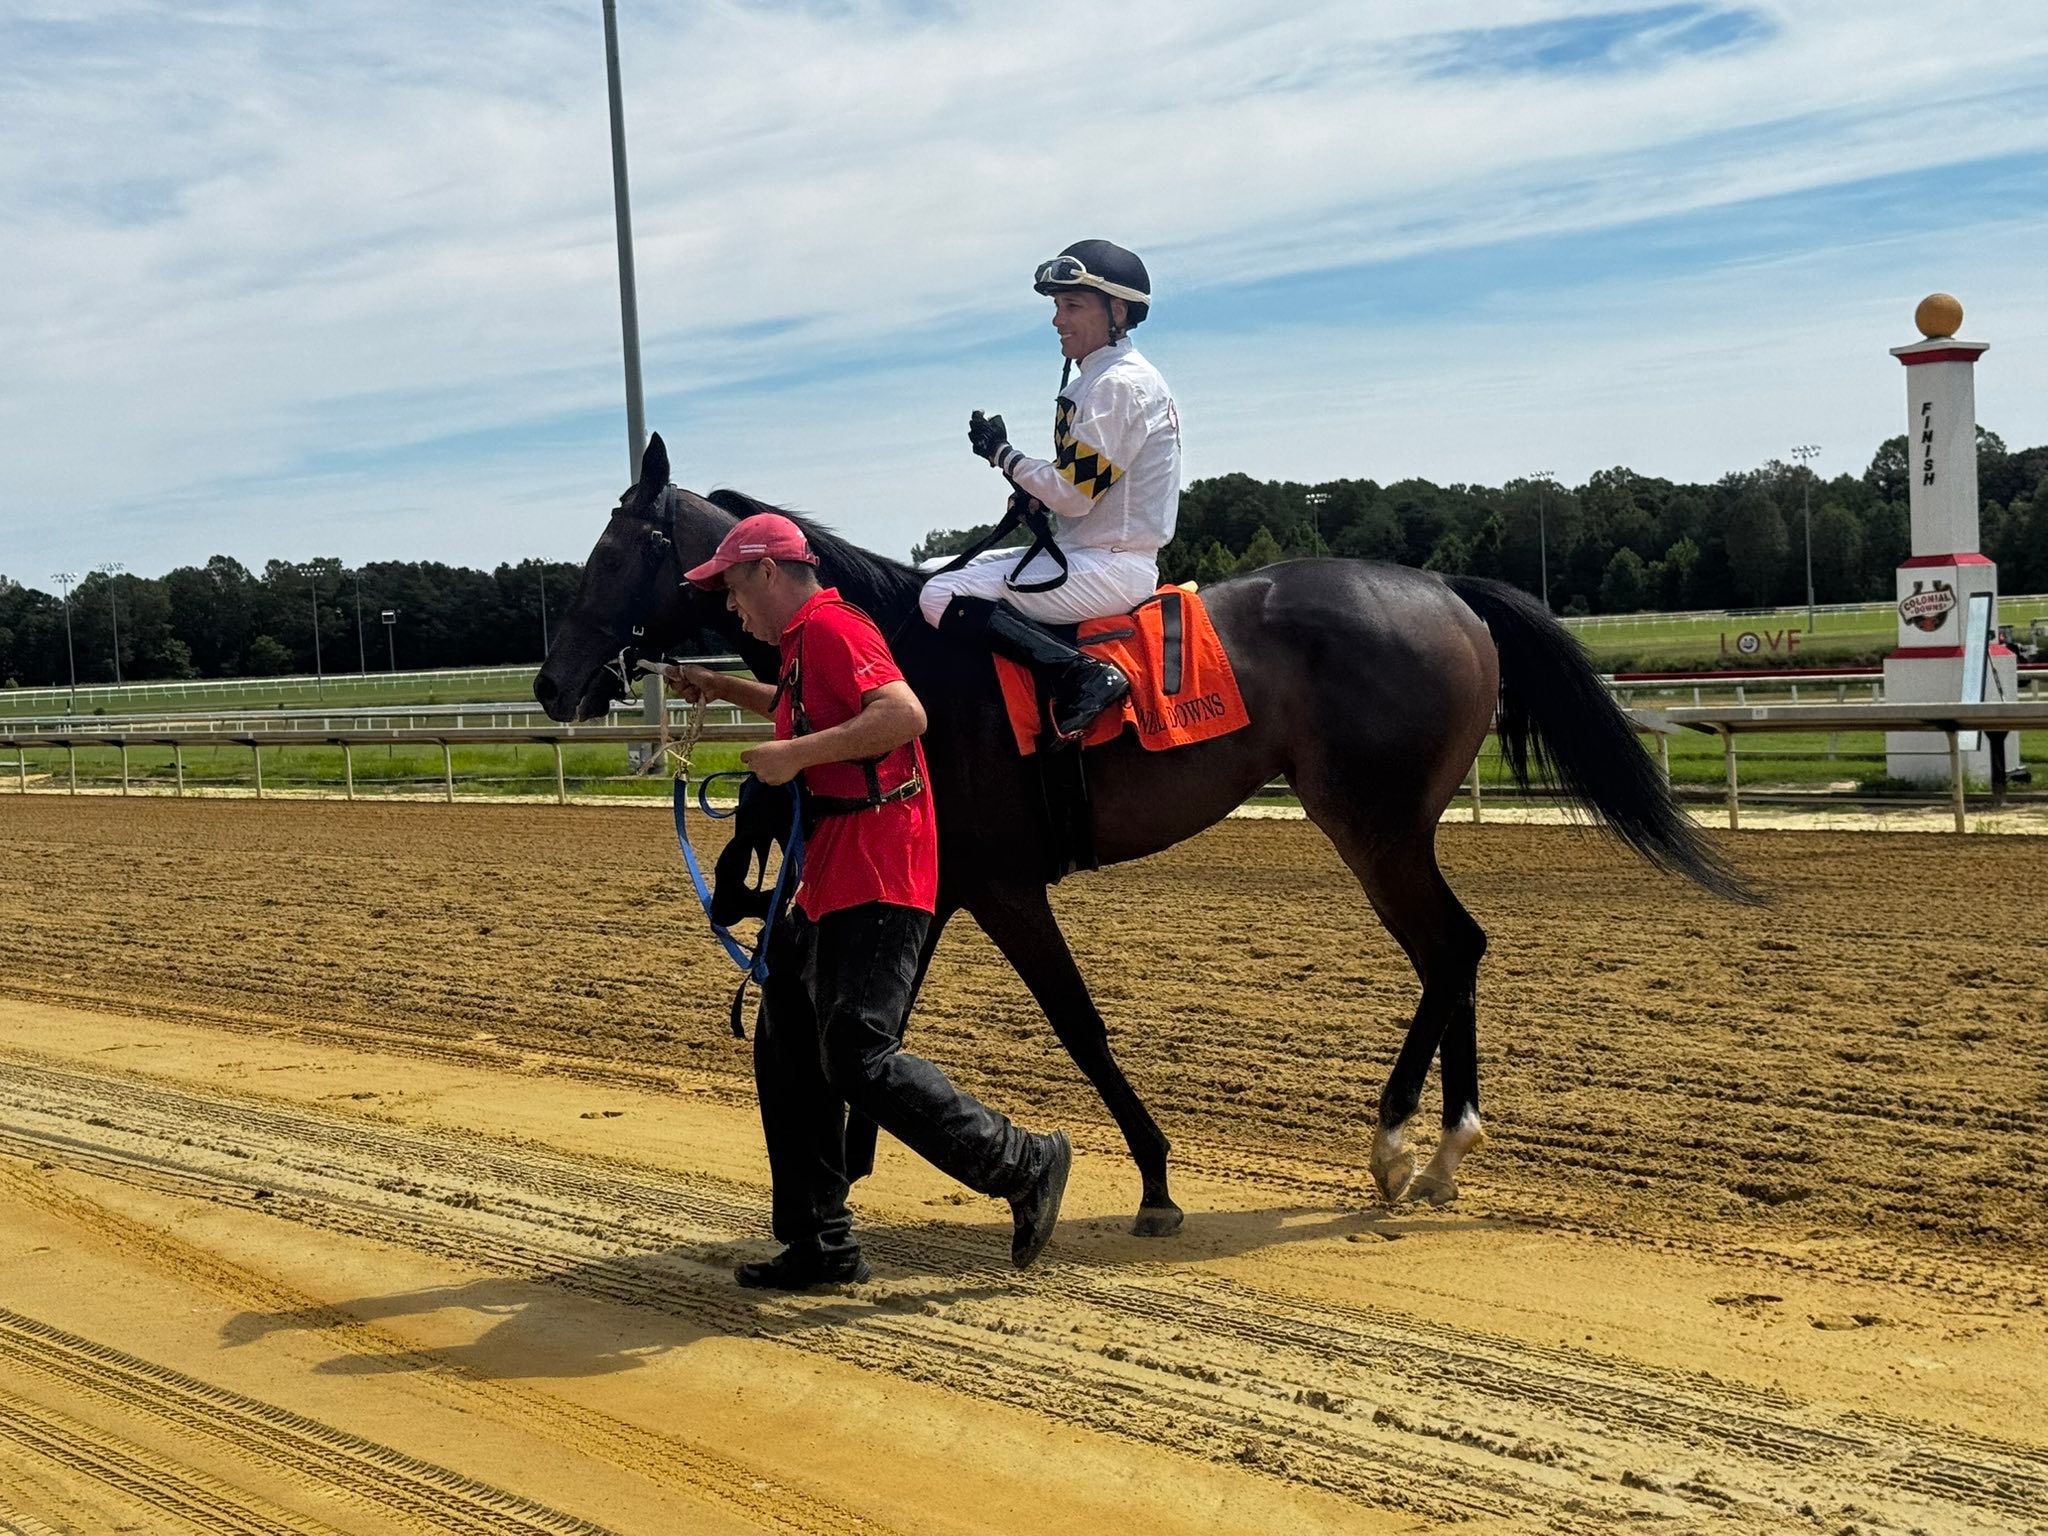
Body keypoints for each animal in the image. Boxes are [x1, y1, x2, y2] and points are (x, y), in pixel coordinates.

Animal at [535, 434, 1751, 1234]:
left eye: (615, 552)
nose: (552, 683)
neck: (906, 658)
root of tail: (1446, 591)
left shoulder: (1001, 885)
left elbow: (1078, 1027)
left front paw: (1155, 1177)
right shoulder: (941, 886)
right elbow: (872, 1025)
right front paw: (849, 1159)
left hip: (1374, 823)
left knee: (1450, 946)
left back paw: (1405, 1143)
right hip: (1387, 825)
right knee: (1456, 951)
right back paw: (1442, 1150)